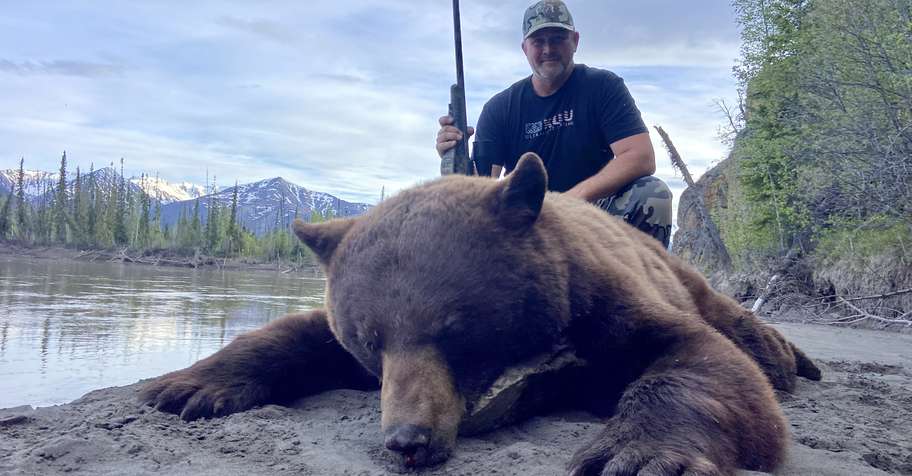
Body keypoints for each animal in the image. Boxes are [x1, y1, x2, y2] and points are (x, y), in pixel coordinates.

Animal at [140, 153, 821, 475]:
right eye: (368, 341)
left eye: (457, 332)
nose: (407, 439)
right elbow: (296, 332)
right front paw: (187, 385)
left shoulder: (603, 306)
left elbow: (701, 360)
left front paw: (639, 454)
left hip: (683, 274)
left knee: (737, 328)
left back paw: (793, 359)